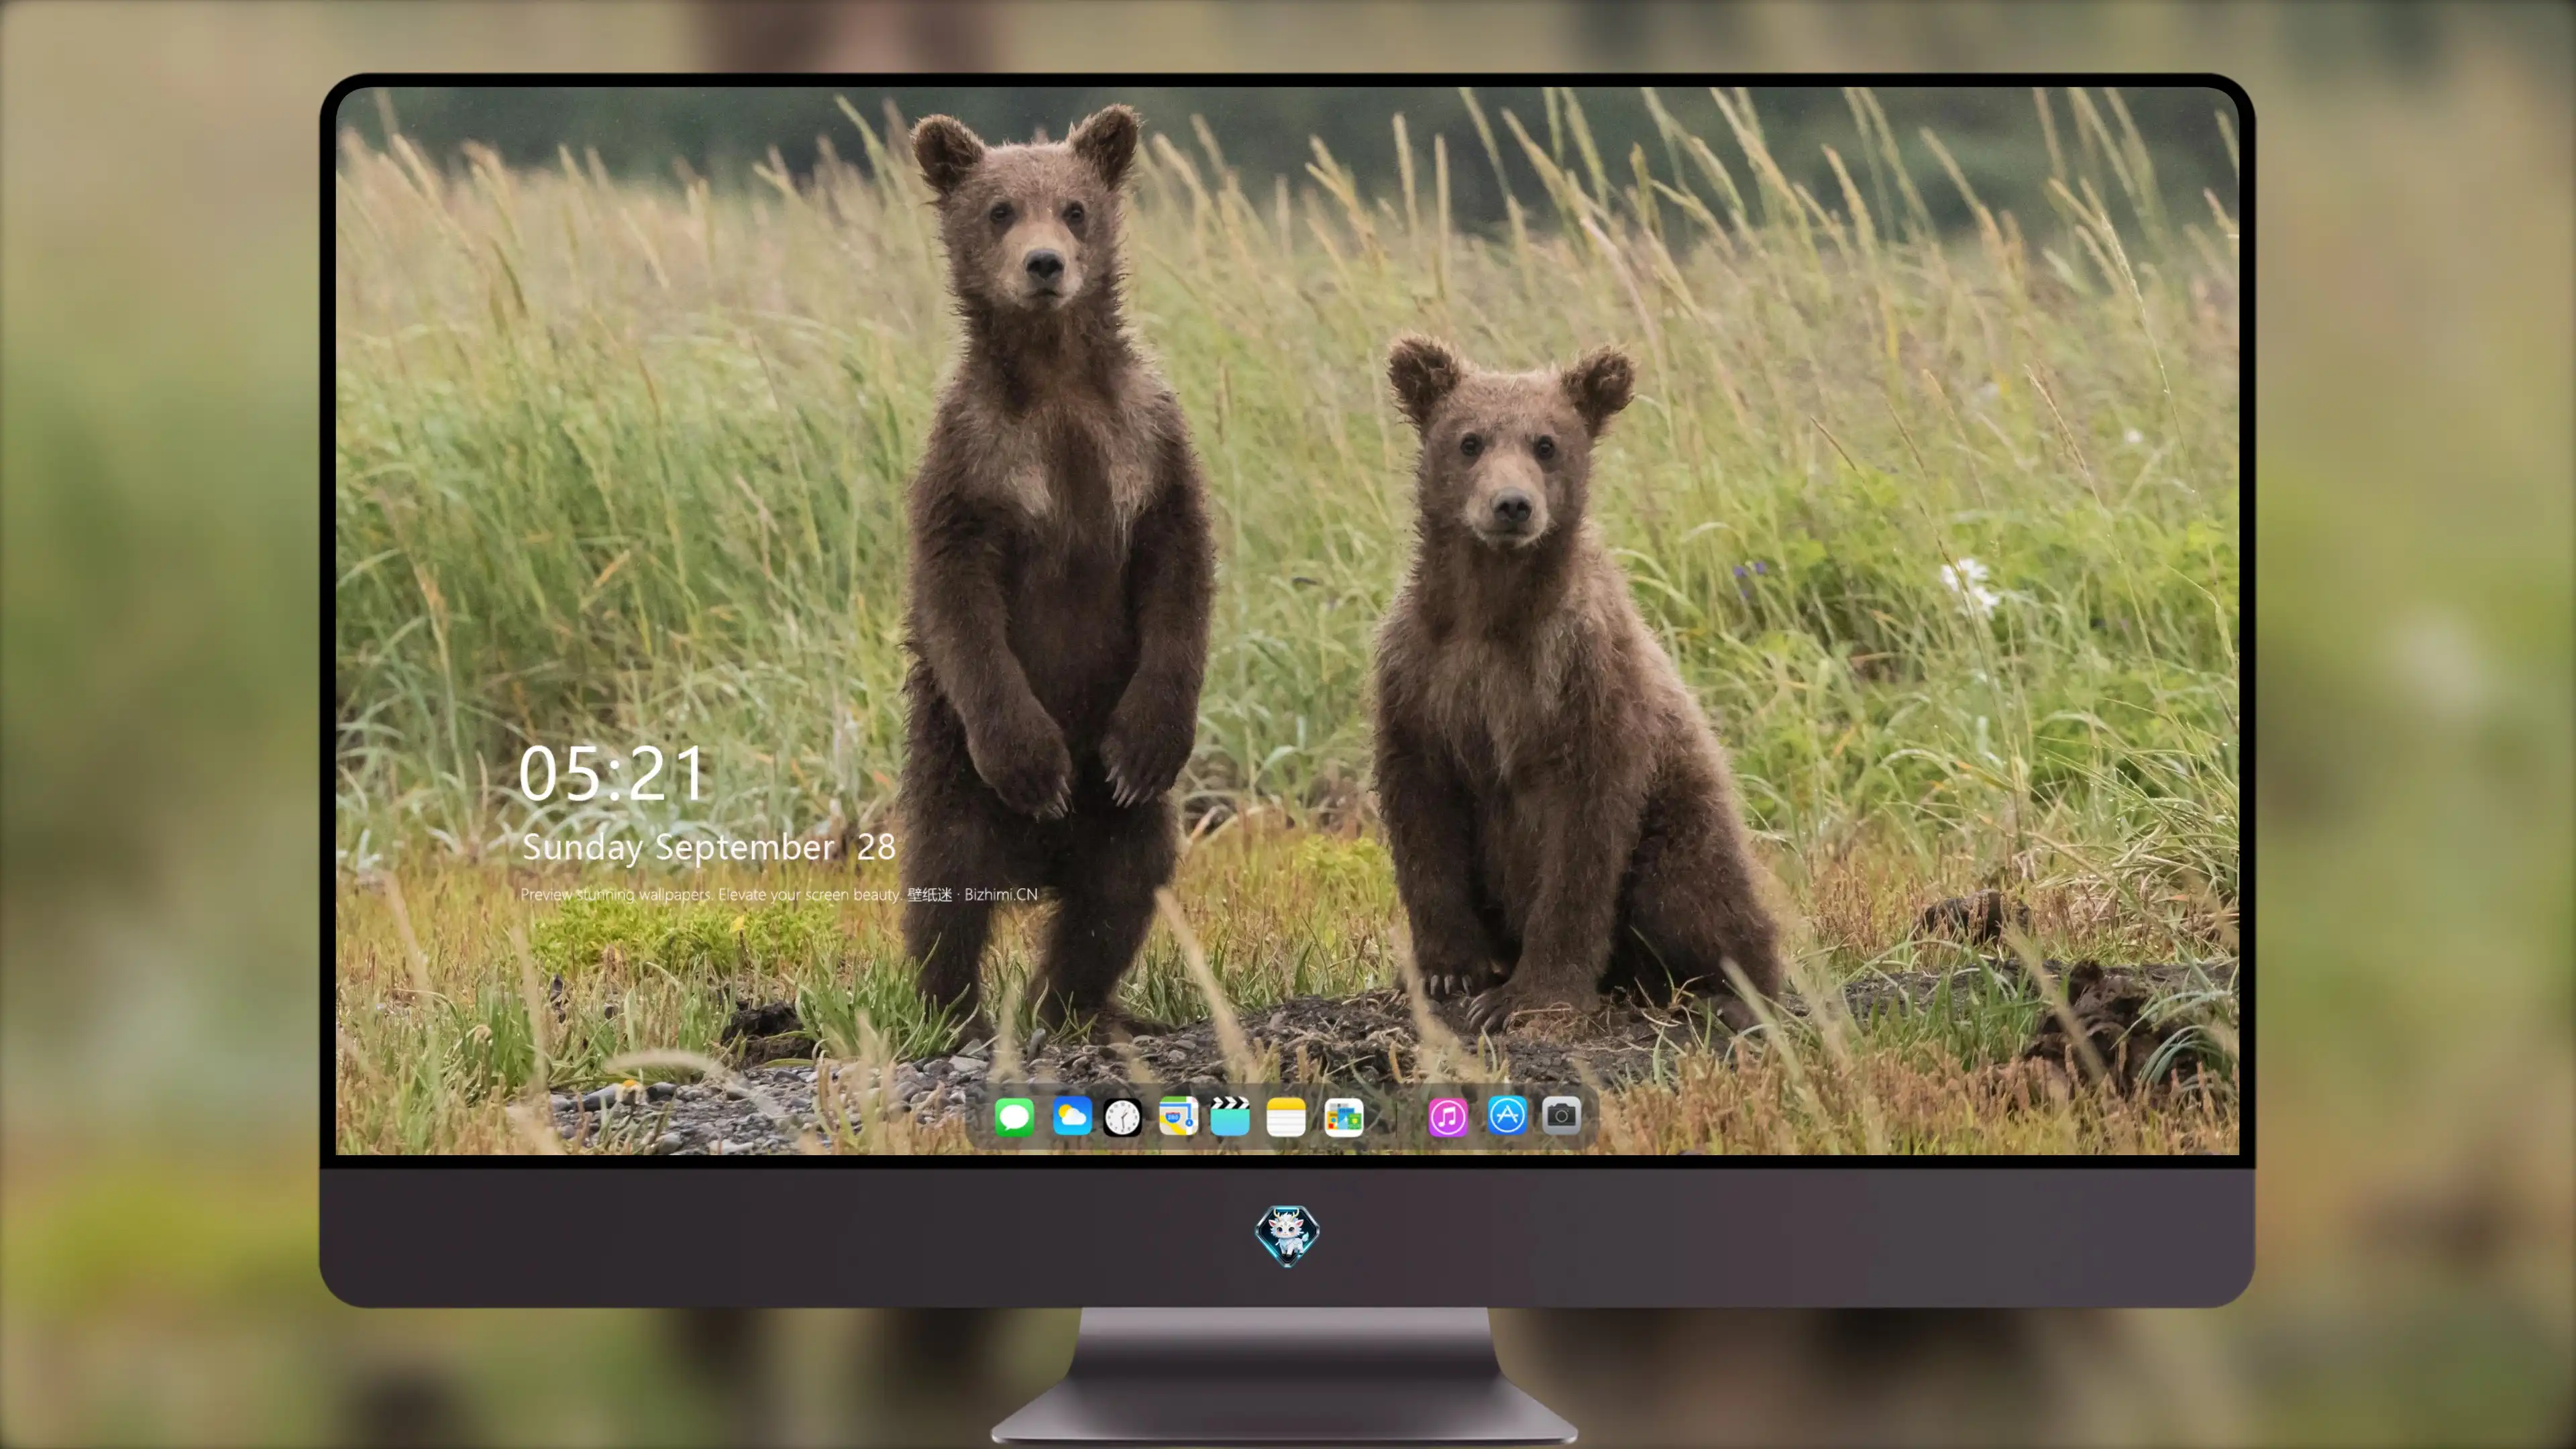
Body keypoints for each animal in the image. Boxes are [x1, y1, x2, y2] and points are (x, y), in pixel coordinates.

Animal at [896, 105, 1213, 1041]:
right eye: (1000, 209)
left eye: (1074, 208)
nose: (1045, 264)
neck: (1055, 378)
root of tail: (1038, 865)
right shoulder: (972, 460)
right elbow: (961, 600)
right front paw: (1037, 764)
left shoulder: (1147, 442)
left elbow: (1179, 573)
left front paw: (1147, 744)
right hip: (951, 771)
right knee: (947, 889)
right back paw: (954, 1013)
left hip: (1121, 823)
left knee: (1118, 890)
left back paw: (1080, 1007)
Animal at [1370, 335, 1785, 1035]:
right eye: (1470, 440)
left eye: (1546, 443)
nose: (1512, 504)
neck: (1493, 612)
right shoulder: (1421, 676)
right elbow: (1423, 819)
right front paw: (1449, 971)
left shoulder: (1583, 680)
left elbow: (1582, 843)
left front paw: (1527, 997)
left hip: (1683, 819)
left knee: (1698, 895)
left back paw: (1728, 991)